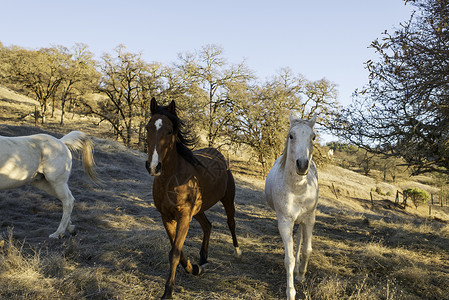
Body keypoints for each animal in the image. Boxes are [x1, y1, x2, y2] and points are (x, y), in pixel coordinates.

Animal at [145, 98, 240, 298]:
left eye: (169, 131)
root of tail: (220, 156)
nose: (154, 166)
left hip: (227, 200)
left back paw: (238, 251)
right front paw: (193, 268)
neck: (171, 179)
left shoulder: (183, 216)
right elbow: (177, 251)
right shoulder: (167, 217)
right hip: (198, 210)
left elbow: (174, 252)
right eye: (148, 127)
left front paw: (168, 292)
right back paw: (203, 259)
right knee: (208, 226)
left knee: (231, 222)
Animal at [266, 115, 318, 300]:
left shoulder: (309, 219)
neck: (297, 190)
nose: (302, 165)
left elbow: (307, 250)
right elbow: (289, 259)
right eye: (291, 135)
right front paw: (291, 292)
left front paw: (301, 275)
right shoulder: (285, 222)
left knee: (301, 238)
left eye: (313, 137)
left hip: (303, 220)